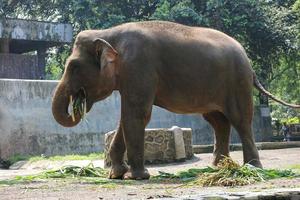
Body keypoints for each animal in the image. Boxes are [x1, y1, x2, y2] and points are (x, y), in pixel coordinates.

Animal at [52, 19, 300, 180]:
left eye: (73, 67)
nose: (78, 105)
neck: (109, 33)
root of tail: (248, 61)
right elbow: (127, 117)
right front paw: (116, 175)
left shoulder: (139, 65)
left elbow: (137, 114)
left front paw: (135, 177)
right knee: (218, 121)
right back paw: (219, 168)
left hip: (237, 81)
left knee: (241, 119)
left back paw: (252, 170)